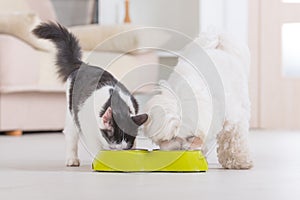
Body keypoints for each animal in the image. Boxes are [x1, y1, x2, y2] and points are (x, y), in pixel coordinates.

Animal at [32, 21, 148, 166]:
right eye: (113, 148)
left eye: (126, 148)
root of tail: (83, 65)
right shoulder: (88, 128)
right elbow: (96, 147)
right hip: (72, 114)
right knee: (71, 134)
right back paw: (72, 159)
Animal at [144, 32, 252, 169]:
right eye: (171, 138)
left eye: (191, 137)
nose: (179, 149)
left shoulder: (233, 117)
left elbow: (233, 139)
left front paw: (238, 161)